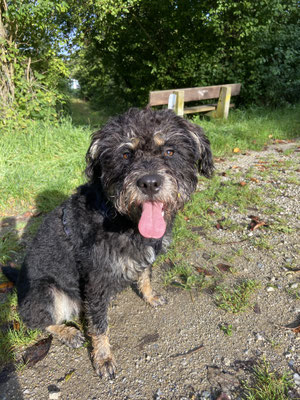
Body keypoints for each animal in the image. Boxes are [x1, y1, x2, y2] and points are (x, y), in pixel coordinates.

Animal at [16, 108, 213, 376]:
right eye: (125, 154)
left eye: (169, 151)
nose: (149, 183)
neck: (121, 218)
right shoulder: (96, 279)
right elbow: (100, 325)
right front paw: (103, 357)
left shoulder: (143, 254)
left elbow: (145, 276)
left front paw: (150, 297)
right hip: (47, 291)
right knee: (37, 321)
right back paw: (68, 333)